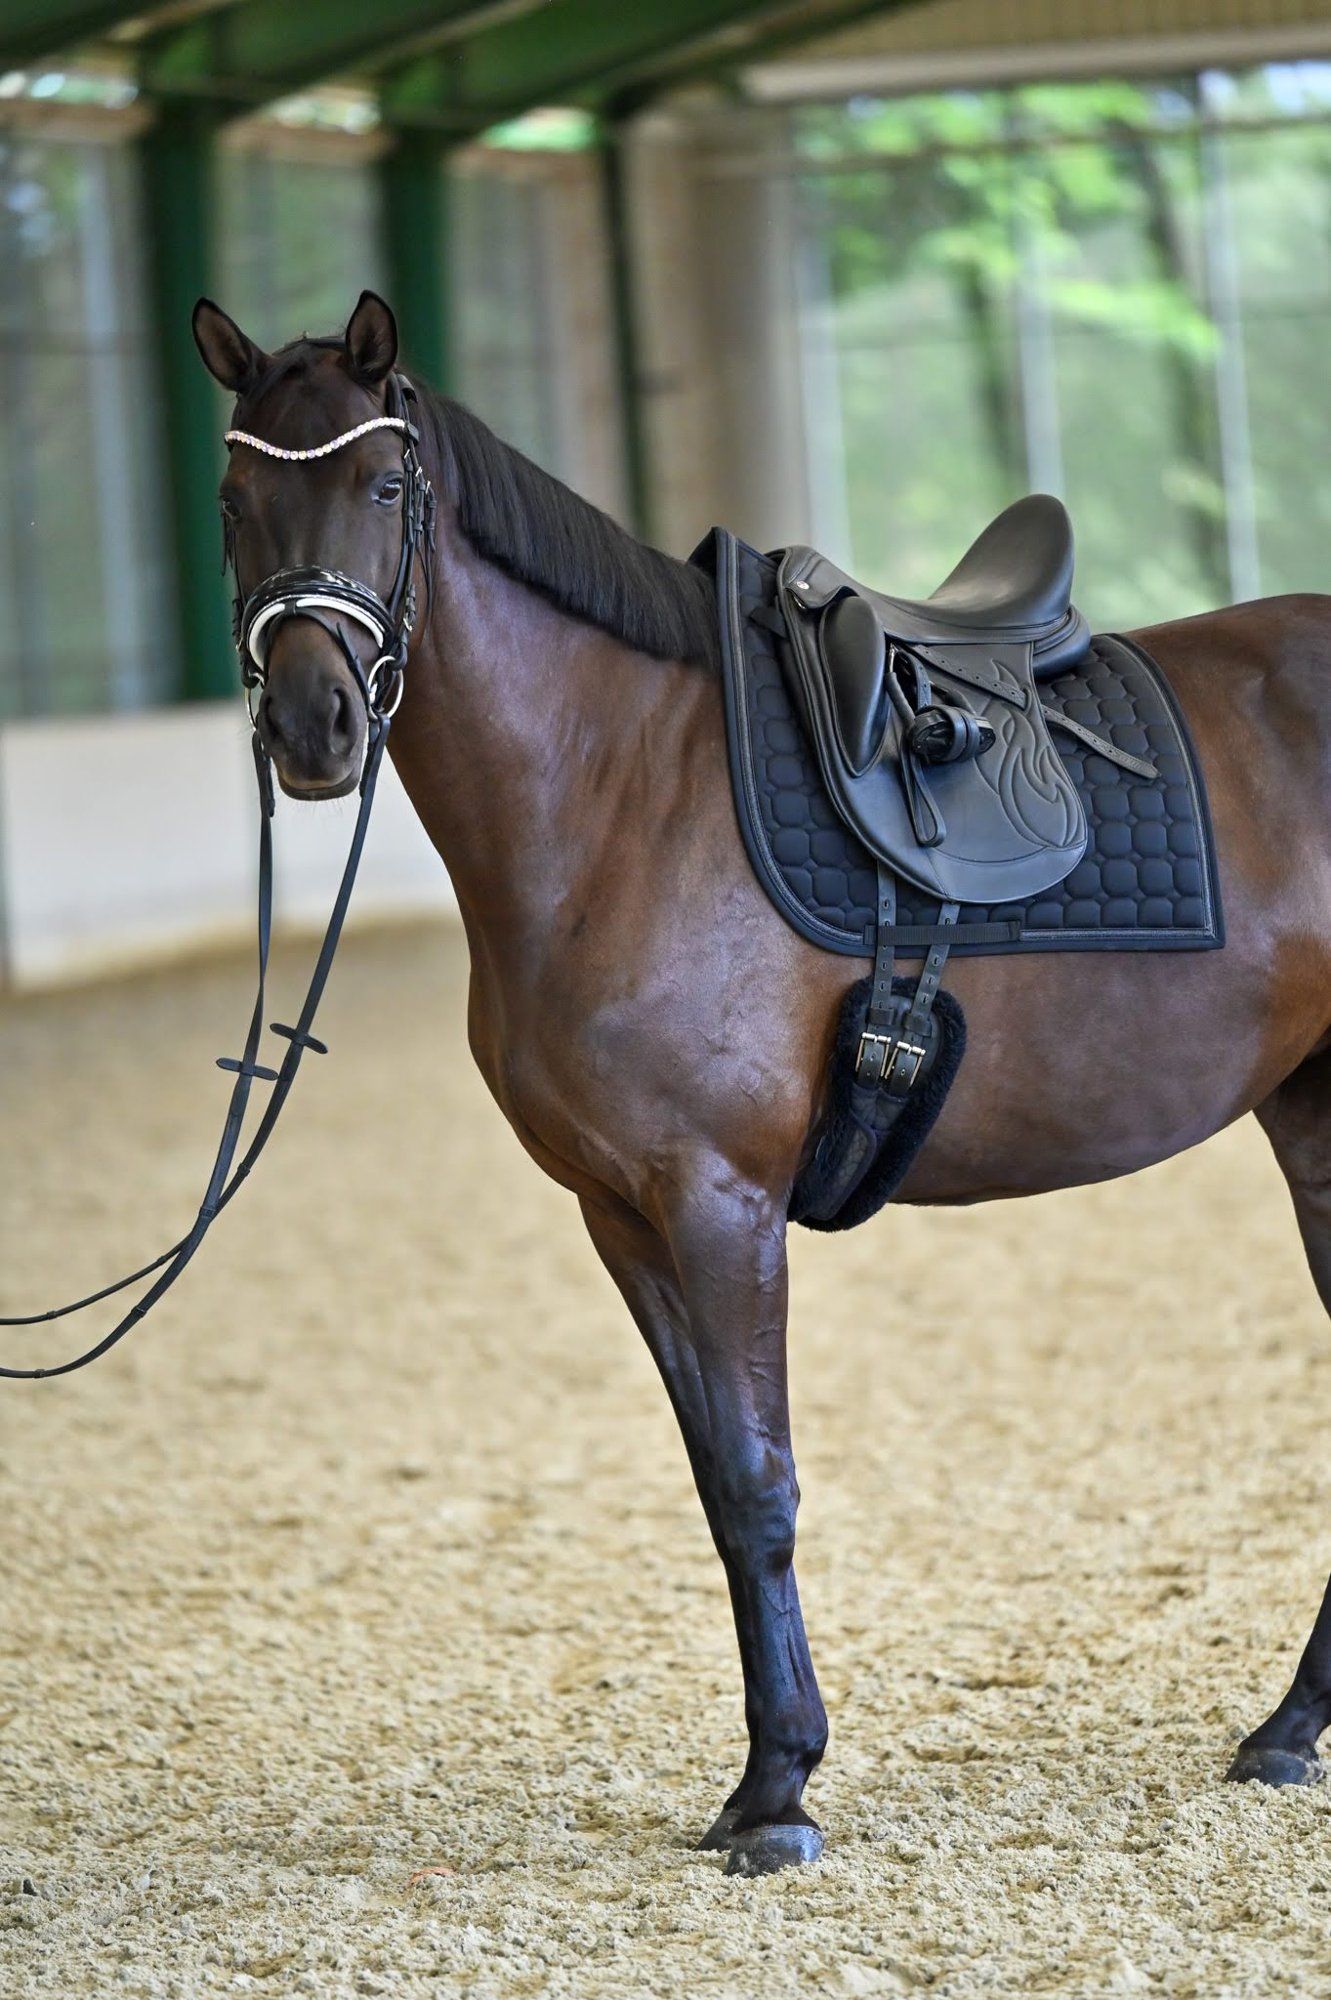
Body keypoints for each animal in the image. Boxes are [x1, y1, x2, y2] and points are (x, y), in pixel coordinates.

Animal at [192, 287, 1331, 1875]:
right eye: (236, 503)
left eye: (379, 487)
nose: (311, 730)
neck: (618, 790)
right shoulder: (621, 1212)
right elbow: (717, 1487)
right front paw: (757, 1779)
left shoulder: (719, 1200)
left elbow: (760, 1477)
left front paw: (781, 1794)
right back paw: (1289, 1727)